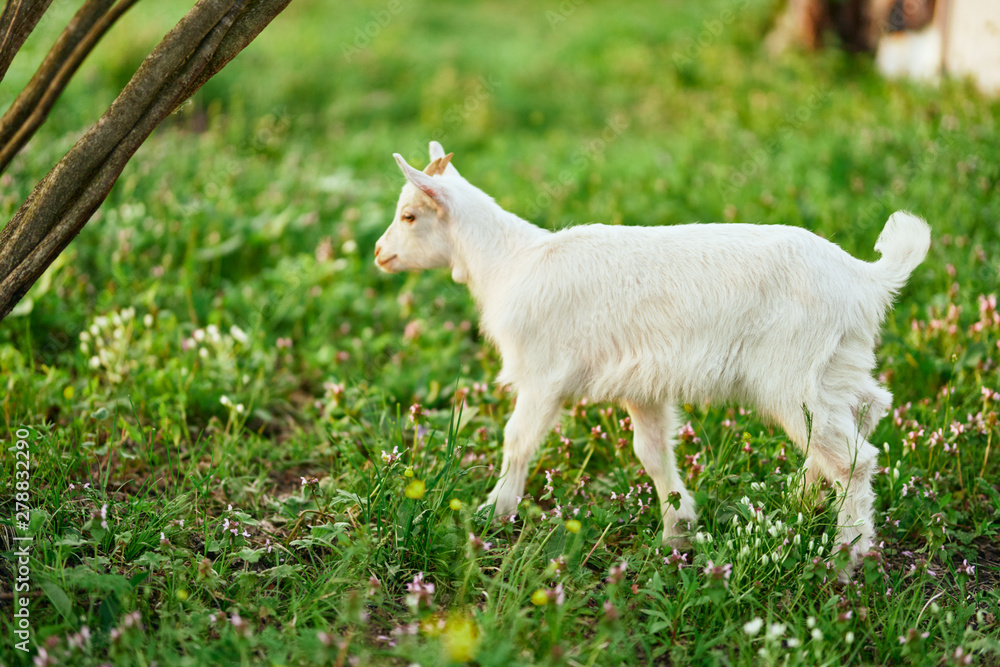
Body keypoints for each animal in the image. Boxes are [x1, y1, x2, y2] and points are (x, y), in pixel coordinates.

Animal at [375, 141, 930, 569]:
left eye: (409, 215)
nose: (380, 254)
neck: (511, 263)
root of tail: (867, 278)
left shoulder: (542, 374)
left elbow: (518, 440)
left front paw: (494, 513)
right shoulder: (642, 384)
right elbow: (653, 453)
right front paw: (676, 532)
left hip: (793, 375)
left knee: (855, 459)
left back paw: (846, 556)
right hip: (838, 363)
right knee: (867, 411)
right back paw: (805, 495)